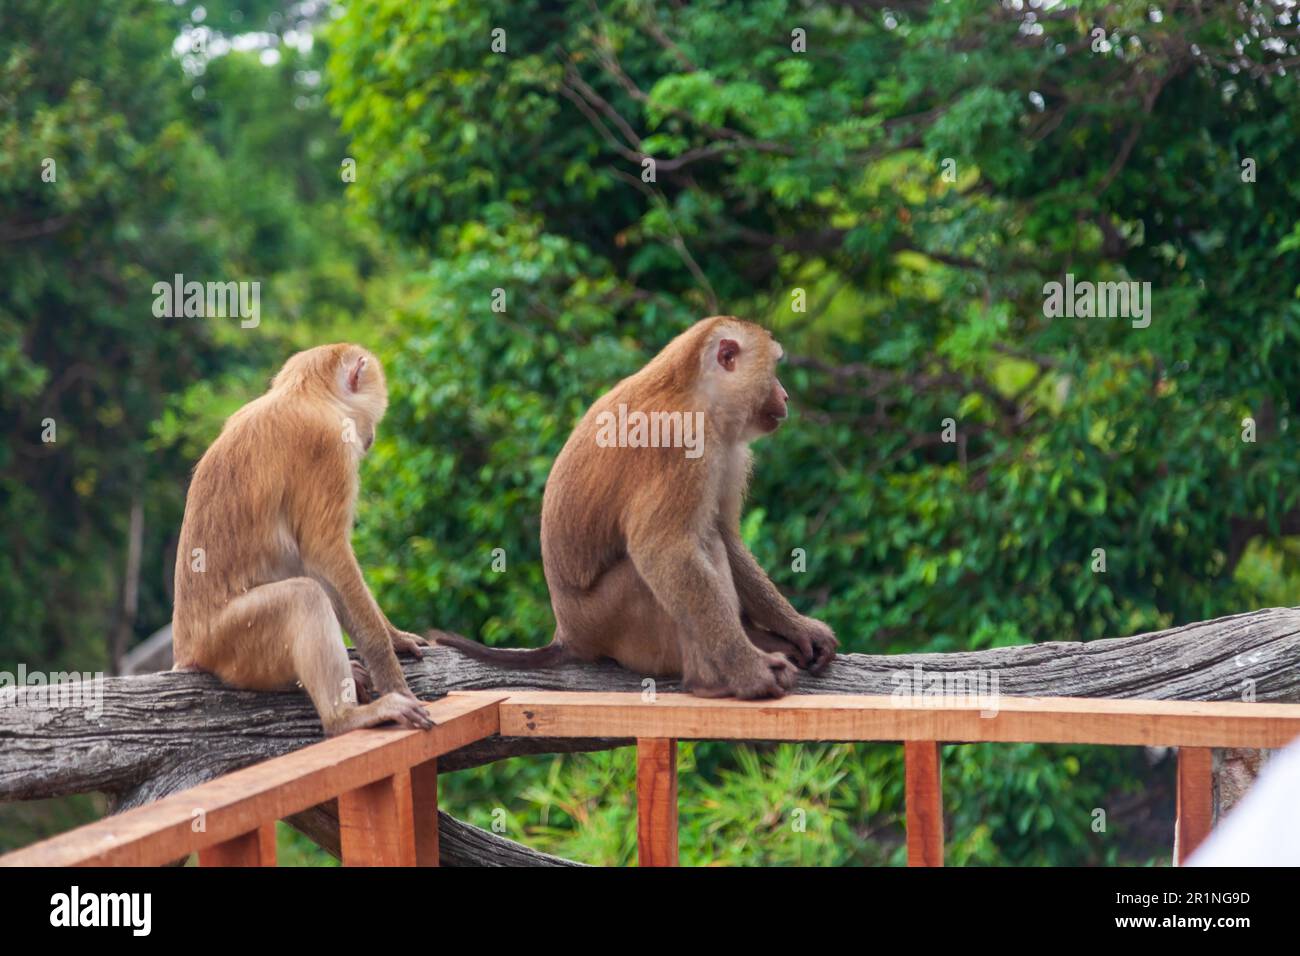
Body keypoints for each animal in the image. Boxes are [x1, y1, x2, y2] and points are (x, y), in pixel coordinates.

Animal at [170, 343, 436, 733]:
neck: (305, 393)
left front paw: (397, 637)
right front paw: (393, 677)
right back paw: (346, 718)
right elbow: (324, 553)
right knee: (303, 596)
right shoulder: (330, 445)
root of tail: (190, 651)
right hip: (230, 641)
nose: (371, 435)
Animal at [441, 317, 837, 697]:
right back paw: (709, 682)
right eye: (773, 369)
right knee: (677, 556)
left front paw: (800, 629)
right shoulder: (682, 446)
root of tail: (567, 635)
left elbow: (724, 532)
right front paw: (749, 670)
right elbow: (664, 552)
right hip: (608, 622)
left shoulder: (728, 449)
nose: (784, 394)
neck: (695, 393)